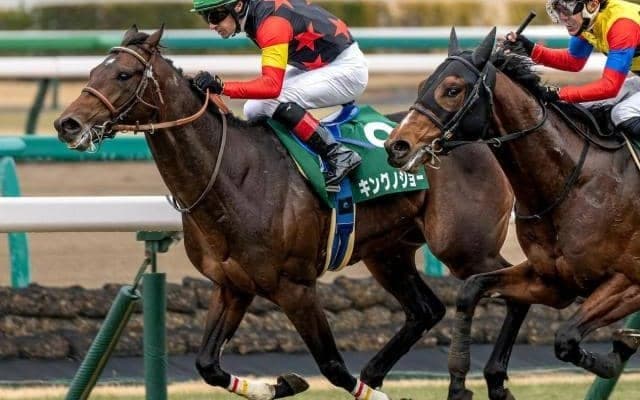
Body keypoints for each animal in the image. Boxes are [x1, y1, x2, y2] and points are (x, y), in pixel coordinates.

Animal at [54, 26, 521, 400]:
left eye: (124, 74)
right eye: (92, 72)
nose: (67, 124)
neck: (233, 176)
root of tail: (476, 139)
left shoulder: (295, 287)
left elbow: (332, 366)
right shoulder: (232, 286)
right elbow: (208, 365)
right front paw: (277, 384)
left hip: (464, 247)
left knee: (515, 284)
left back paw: (494, 379)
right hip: (387, 253)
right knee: (426, 309)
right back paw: (381, 372)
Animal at [386, 27, 640, 400]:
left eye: (452, 89)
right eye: (422, 85)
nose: (397, 146)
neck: (574, 182)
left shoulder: (628, 281)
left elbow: (566, 339)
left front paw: (620, 348)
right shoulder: (552, 282)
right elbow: (471, 290)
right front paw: (461, 381)